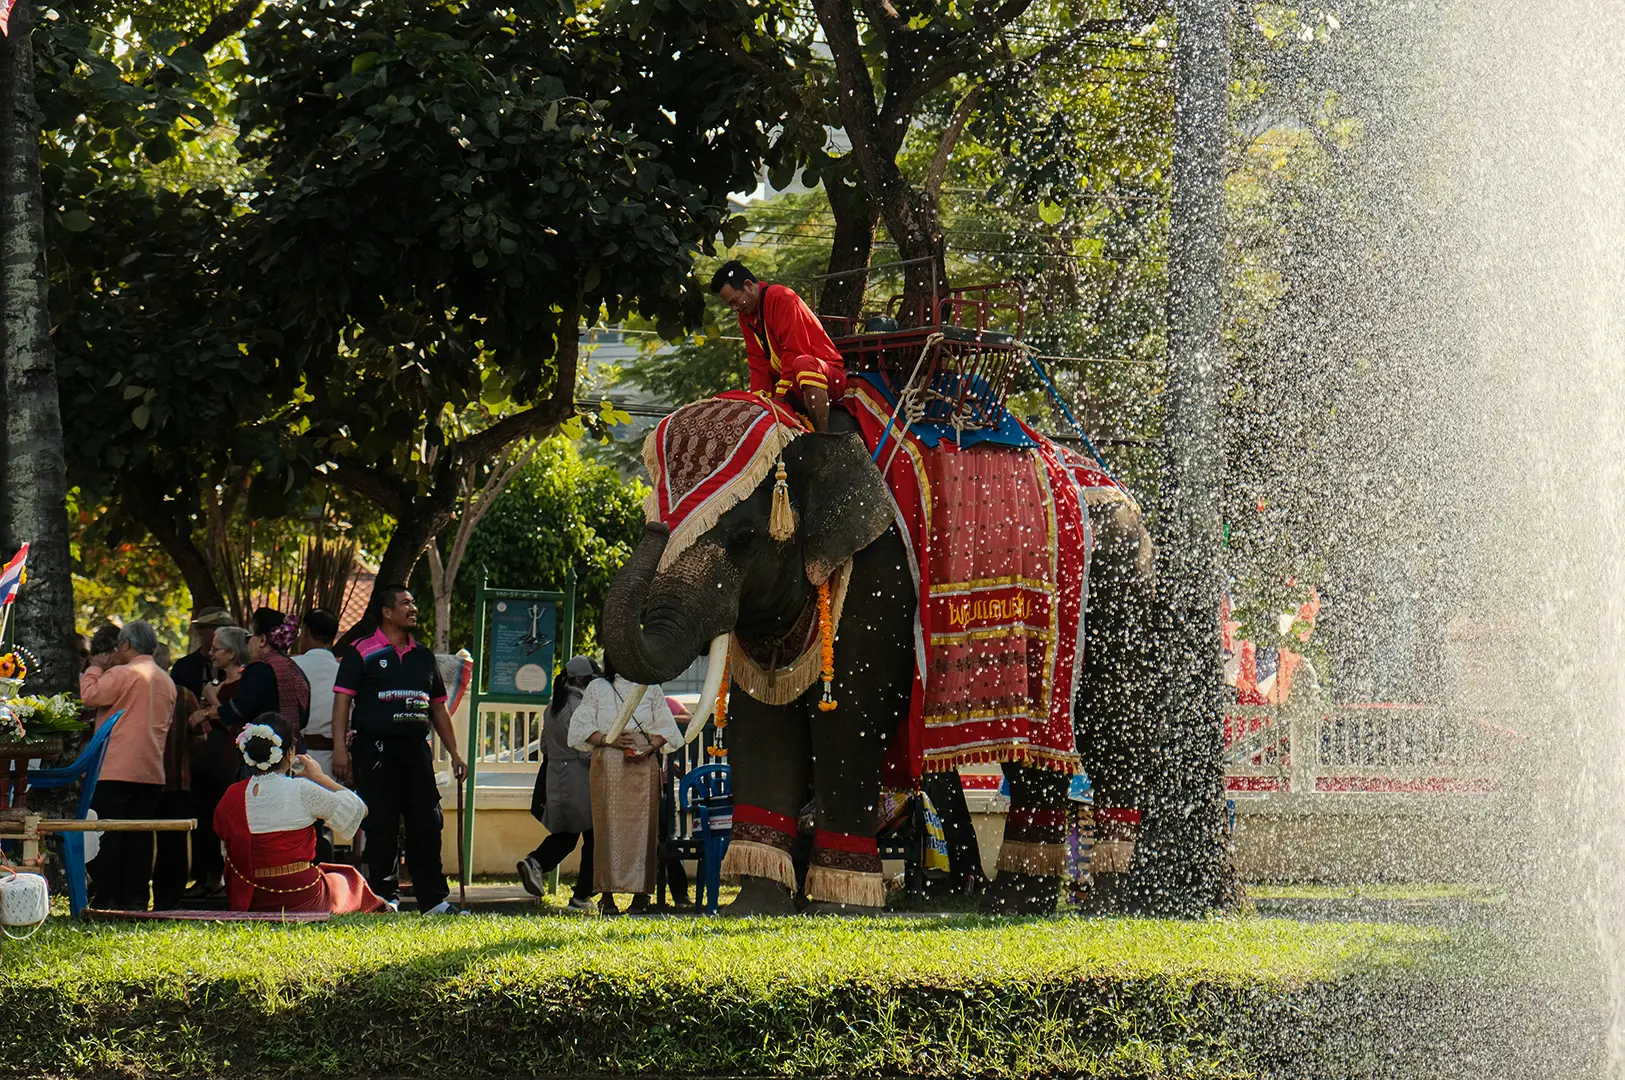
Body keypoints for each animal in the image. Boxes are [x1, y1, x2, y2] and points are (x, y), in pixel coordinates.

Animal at [603, 406, 1155, 915]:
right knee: (1038, 755)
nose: (654, 524)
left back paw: (1106, 903)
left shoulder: (880, 580)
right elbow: (762, 719)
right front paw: (756, 906)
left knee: (1113, 729)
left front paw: (838, 903)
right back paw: (1015, 902)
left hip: (1122, 590)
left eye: (743, 538)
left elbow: (848, 719)